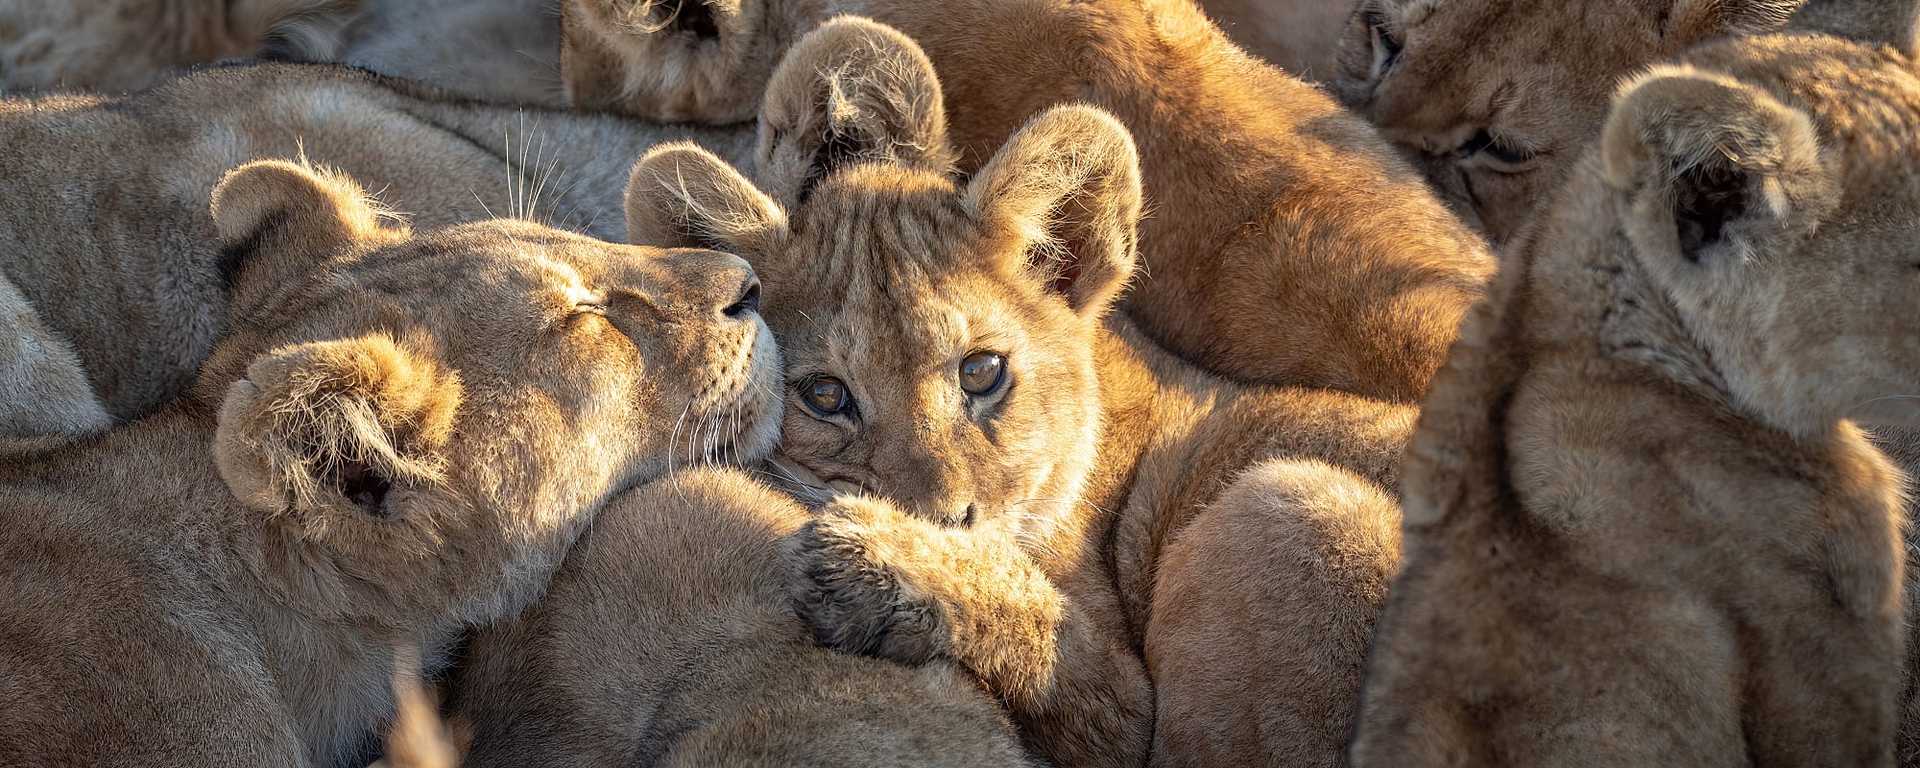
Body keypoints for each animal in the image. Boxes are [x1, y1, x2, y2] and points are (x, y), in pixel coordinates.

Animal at [622, 19, 1420, 768]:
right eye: (824, 396)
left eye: (981, 372)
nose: (939, 523)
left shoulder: (1125, 714)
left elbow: (1052, 637)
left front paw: (884, 563)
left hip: (1299, 510)